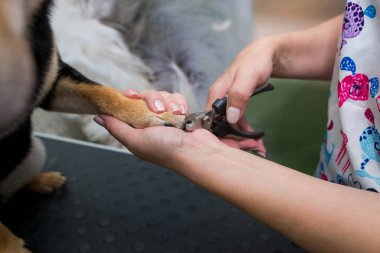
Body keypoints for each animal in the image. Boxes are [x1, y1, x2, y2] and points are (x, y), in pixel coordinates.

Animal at [0, 0, 184, 251]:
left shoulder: (54, 84)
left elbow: (103, 92)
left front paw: (145, 111)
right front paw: (12, 247)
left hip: (36, 153)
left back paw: (41, 180)